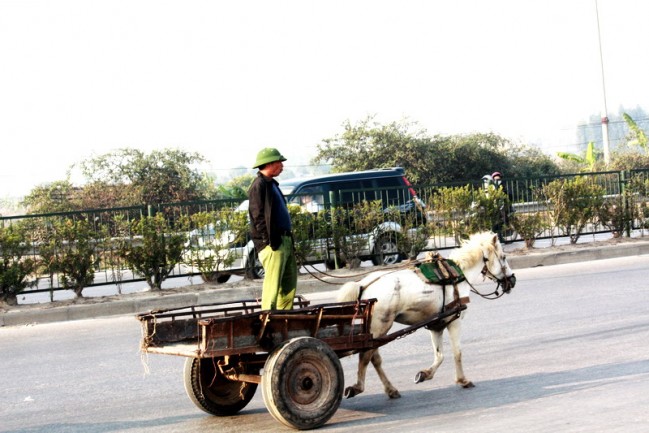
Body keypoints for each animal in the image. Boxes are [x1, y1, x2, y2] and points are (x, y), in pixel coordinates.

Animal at [336, 231, 512, 396]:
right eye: (503, 257)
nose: (512, 280)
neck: (457, 275)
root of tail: (364, 284)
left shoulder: (436, 325)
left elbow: (439, 355)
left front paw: (425, 374)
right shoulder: (455, 322)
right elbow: (457, 352)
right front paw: (462, 380)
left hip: (375, 330)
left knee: (374, 358)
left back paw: (390, 389)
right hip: (380, 327)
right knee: (366, 356)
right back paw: (358, 387)